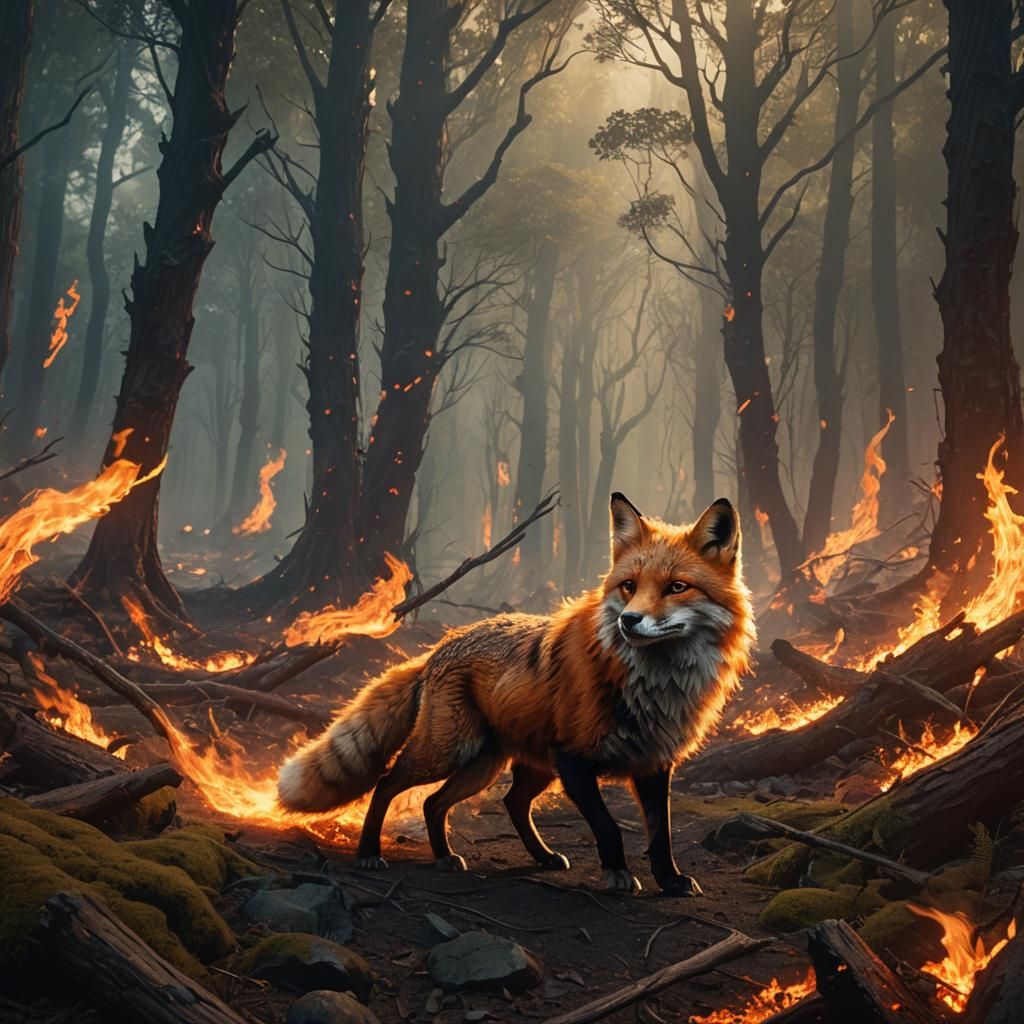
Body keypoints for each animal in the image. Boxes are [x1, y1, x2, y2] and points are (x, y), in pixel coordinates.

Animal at [278, 493, 755, 896]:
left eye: (677, 587)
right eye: (629, 586)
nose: (629, 621)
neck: (653, 685)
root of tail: (440, 646)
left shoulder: (653, 762)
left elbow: (662, 834)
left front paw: (670, 881)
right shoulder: (573, 759)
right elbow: (608, 825)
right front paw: (617, 873)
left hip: (495, 766)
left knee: (464, 802)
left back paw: (473, 856)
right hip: (451, 751)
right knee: (386, 783)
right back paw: (369, 852)